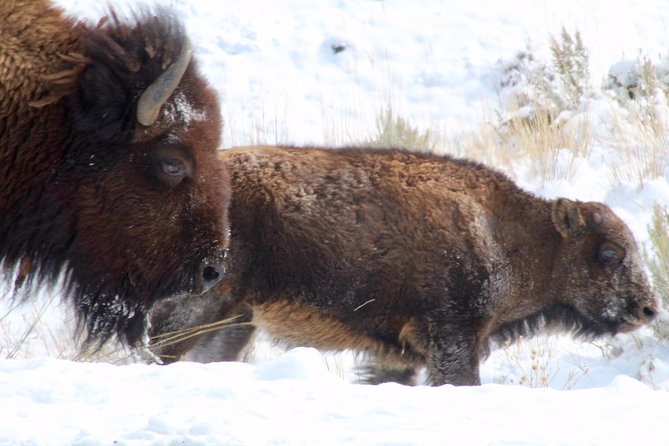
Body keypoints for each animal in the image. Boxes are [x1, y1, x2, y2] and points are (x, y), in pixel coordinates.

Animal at [149, 145, 656, 384]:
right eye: (609, 253)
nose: (648, 308)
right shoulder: (452, 339)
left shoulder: (398, 357)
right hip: (201, 306)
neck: (508, 231)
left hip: (236, 319)